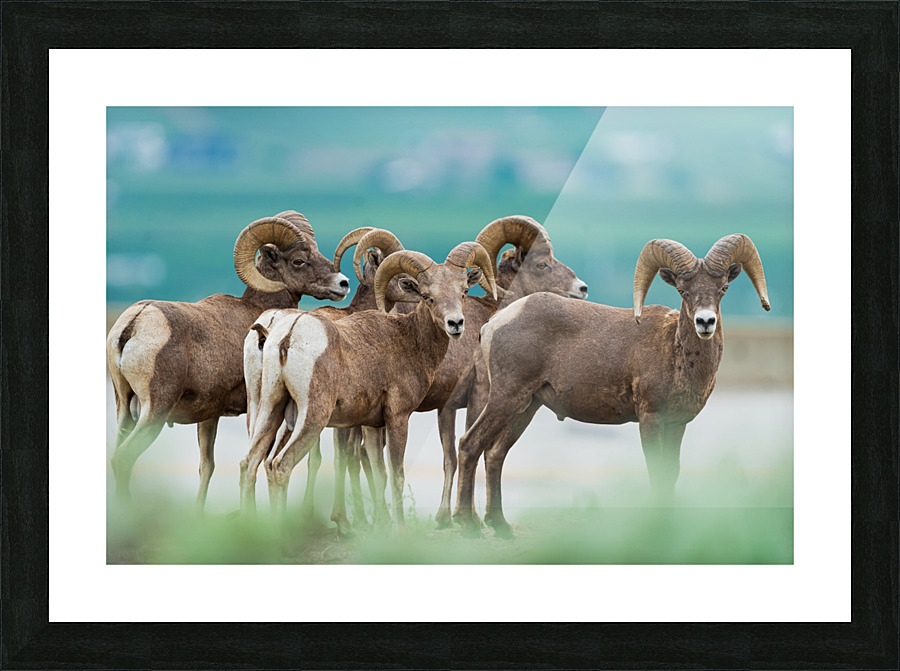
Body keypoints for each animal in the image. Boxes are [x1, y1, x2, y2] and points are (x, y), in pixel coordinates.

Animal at [106, 211, 350, 507]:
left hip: (124, 408)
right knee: (124, 458)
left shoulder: (209, 416)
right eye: (298, 261)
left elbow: (207, 466)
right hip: (154, 410)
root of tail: (134, 323)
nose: (343, 283)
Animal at [240, 241, 498, 531]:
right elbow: (395, 475)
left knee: (251, 463)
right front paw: (399, 530)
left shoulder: (373, 425)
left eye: (463, 291)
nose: (456, 324)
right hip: (312, 418)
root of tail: (287, 336)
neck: (409, 340)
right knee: (280, 465)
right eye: (428, 296)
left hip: (269, 409)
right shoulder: (398, 417)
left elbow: (378, 471)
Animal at [453, 234, 771, 538]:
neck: (676, 352)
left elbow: (671, 474)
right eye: (684, 291)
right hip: (505, 398)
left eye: (722, 289)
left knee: (495, 453)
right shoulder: (650, 419)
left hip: (526, 407)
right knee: (470, 444)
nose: (705, 322)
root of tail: (494, 324)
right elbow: (656, 473)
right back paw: (469, 528)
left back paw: (501, 527)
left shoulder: (676, 424)